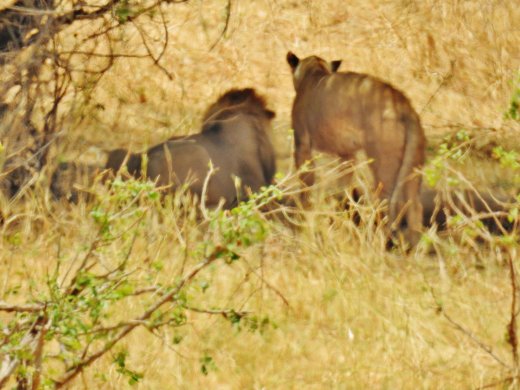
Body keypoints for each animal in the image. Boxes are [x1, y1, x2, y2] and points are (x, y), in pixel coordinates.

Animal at [286, 51, 424, 245]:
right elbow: (344, 186)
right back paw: (417, 246)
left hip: (383, 162)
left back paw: (378, 240)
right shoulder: (346, 154)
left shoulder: (302, 145)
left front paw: (303, 216)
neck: (314, 73)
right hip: (414, 166)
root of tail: (401, 102)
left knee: (387, 201)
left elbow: (306, 184)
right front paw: (343, 216)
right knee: (415, 206)